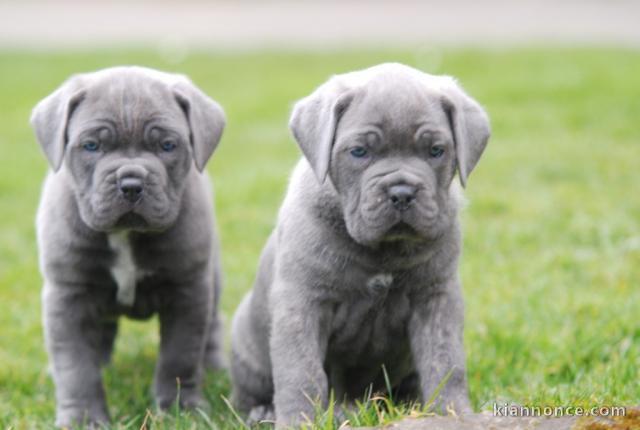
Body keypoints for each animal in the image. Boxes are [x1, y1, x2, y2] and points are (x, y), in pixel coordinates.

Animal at [33, 67, 228, 426]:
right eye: (91, 145)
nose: (132, 183)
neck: (125, 234)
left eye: (167, 145)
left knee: (212, 325)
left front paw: (181, 409)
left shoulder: (187, 291)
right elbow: (76, 366)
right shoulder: (68, 297)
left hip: (212, 276)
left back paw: (214, 366)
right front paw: (83, 417)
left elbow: (179, 356)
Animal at [230, 63, 490, 426]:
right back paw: (263, 411)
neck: (384, 250)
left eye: (436, 151)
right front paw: (299, 422)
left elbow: (446, 361)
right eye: (359, 152)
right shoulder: (303, 303)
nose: (402, 193)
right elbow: (300, 372)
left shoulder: (436, 297)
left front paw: (452, 412)